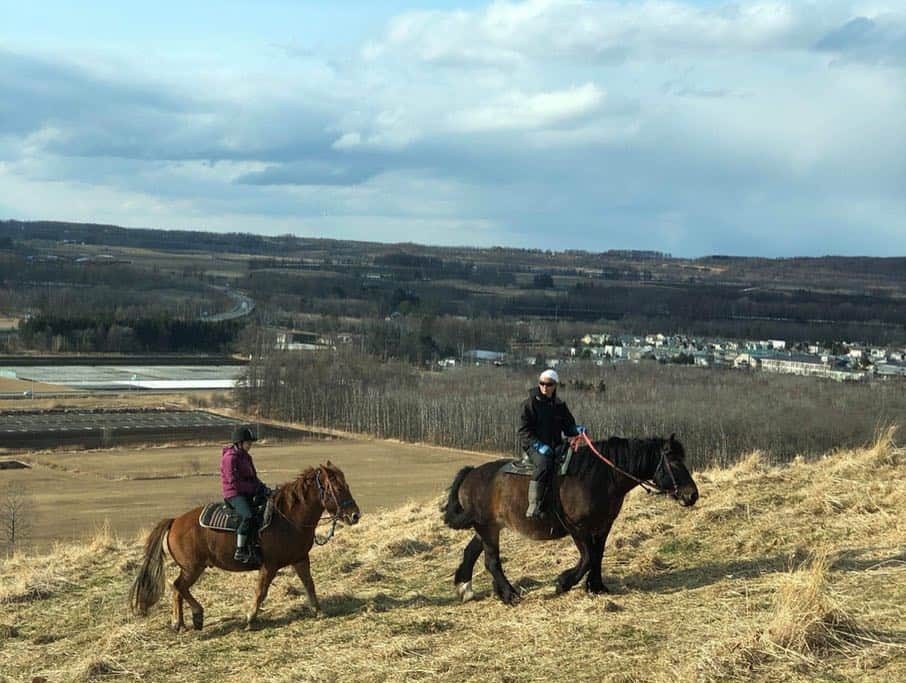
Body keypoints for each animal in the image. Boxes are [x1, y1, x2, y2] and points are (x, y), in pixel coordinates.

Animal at [129, 464, 358, 632]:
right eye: (339, 489)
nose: (355, 515)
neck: (289, 518)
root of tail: (175, 521)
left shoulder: (300, 559)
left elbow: (309, 585)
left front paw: (318, 611)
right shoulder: (269, 566)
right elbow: (261, 592)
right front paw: (250, 619)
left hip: (191, 568)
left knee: (178, 589)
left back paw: (183, 622)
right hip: (192, 568)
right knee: (178, 587)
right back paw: (190, 618)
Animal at [442, 438, 696, 604]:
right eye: (674, 462)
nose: (692, 495)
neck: (600, 477)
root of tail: (471, 473)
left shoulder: (603, 526)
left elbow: (597, 556)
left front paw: (596, 586)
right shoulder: (577, 528)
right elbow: (587, 557)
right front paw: (563, 582)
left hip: (488, 528)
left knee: (471, 552)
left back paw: (466, 589)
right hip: (487, 527)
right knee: (492, 561)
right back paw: (509, 595)